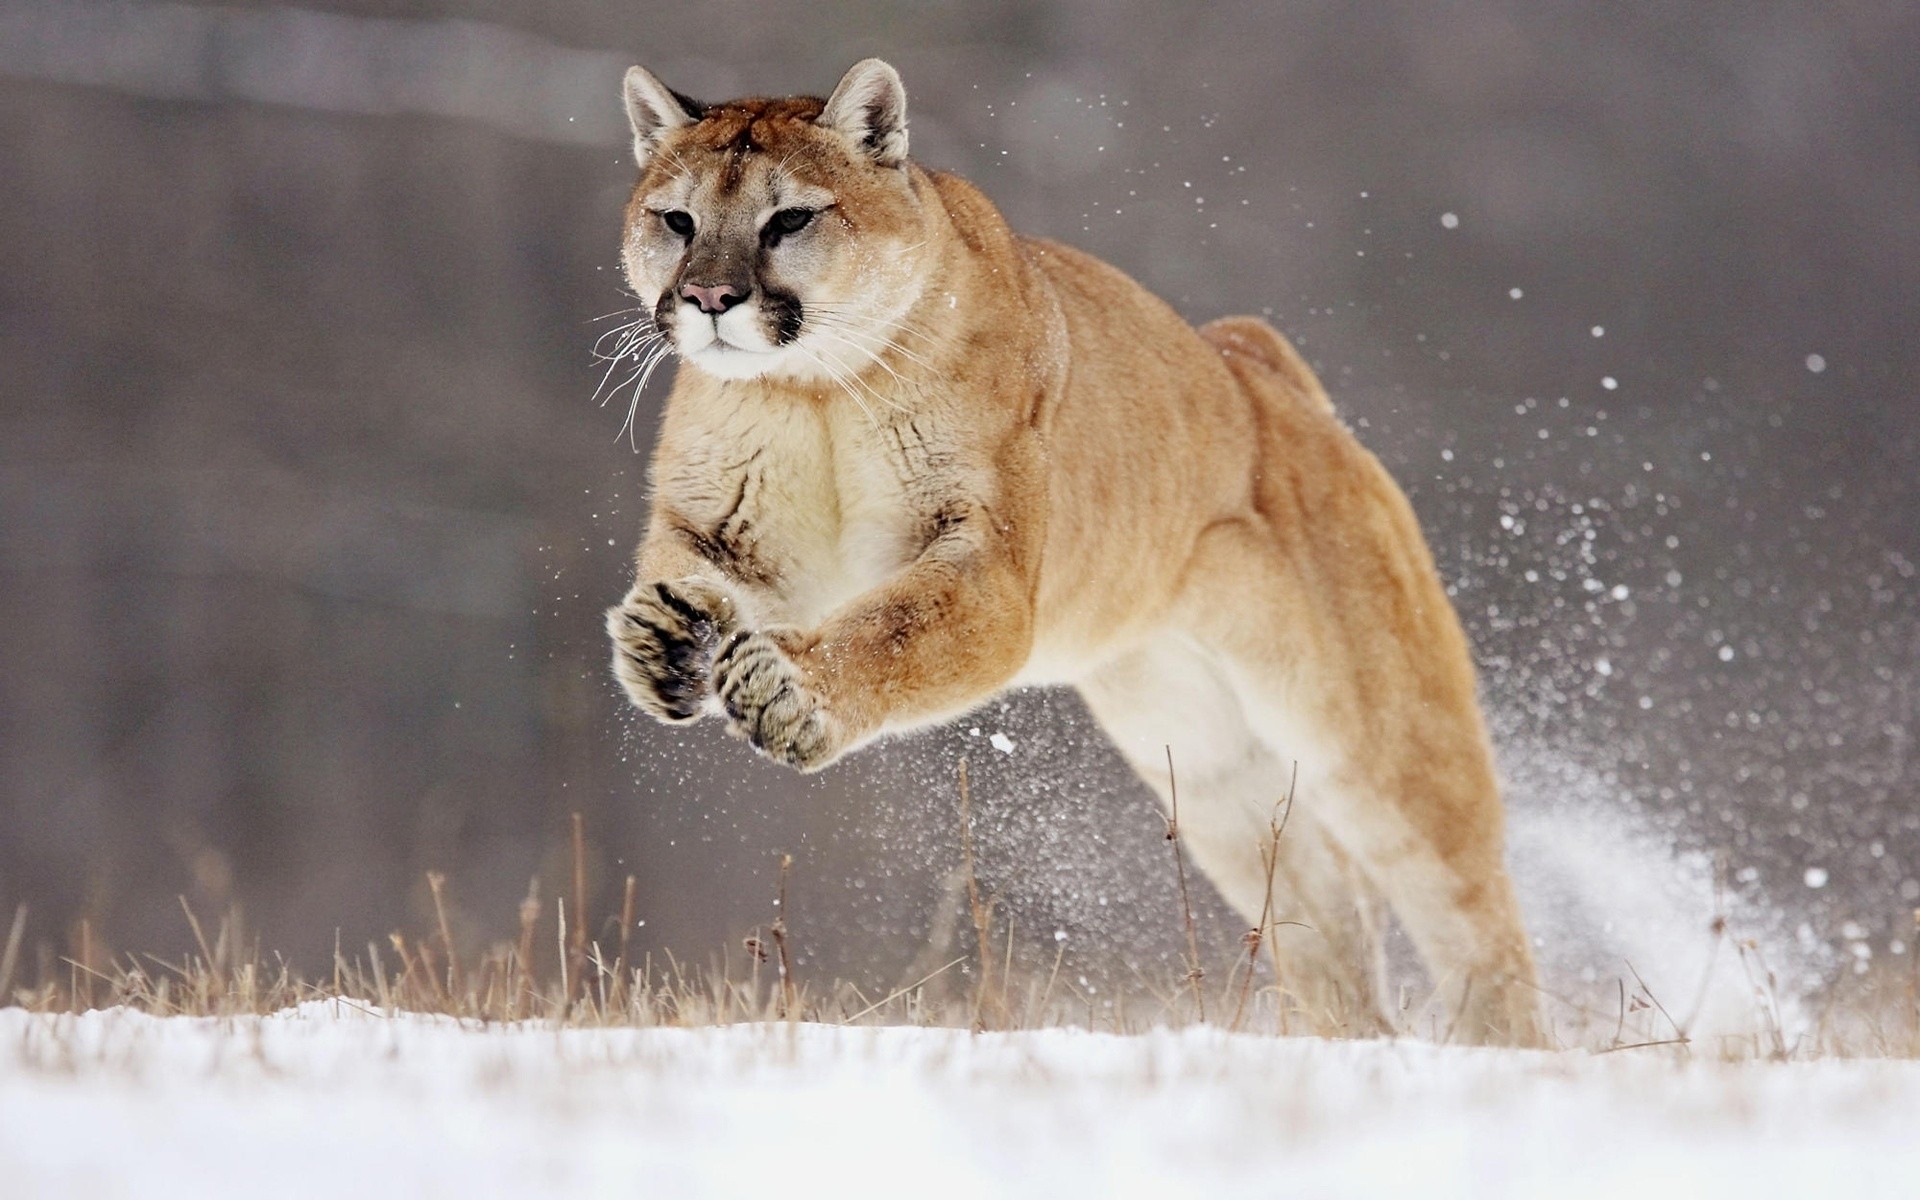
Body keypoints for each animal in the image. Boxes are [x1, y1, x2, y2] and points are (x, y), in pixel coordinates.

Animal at [603, 59, 1546, 1045]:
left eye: (789, 220)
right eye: (677, 220)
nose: (710, 299)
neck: (811, 389)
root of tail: (1259, 366)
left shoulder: (987, 570)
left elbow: (894, 629)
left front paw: (786, 692)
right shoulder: (726, 532)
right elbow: (686, 571)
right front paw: (664, 640)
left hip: (1380, 738)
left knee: (1468, 909)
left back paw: (1504, 1052)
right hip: (1210, 766)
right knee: (1324, 911)